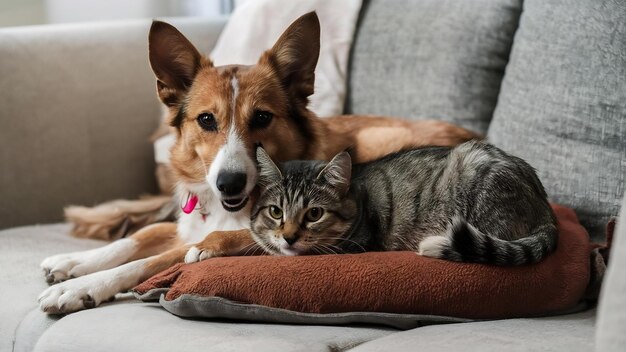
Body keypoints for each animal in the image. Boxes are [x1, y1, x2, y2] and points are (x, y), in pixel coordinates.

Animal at [37, 11, 472, 314]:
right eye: (206, 120)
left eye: (262, 117)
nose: (228, 183)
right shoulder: (186, 220)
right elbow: (139, 237)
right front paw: (75, 262)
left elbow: (153, 259)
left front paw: (82, 287)